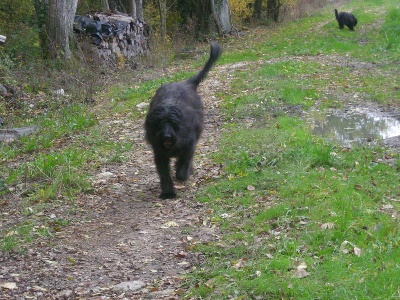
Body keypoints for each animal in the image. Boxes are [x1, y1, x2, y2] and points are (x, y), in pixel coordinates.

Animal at [145, 42, 222, 199]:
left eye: (173, 123)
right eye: (159, 123)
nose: (167, 136)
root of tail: (187, 83)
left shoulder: (189, 144)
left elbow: (183, 165)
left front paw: (181, 175)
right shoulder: (159, 153)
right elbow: (164, 174)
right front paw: (168, 192)